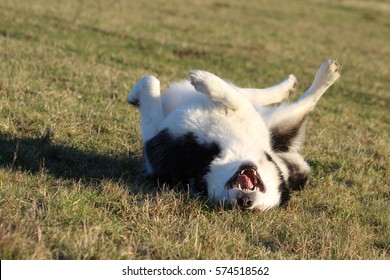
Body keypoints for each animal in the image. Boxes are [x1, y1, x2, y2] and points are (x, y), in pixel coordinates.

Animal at [127, 60, 338, 211]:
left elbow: (151, 83)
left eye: (259, 209)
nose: (245, 203)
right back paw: (299, 82)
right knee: (262, 95)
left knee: (302, 102)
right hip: (274, 121)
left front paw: (205, 81)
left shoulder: (154, 140)